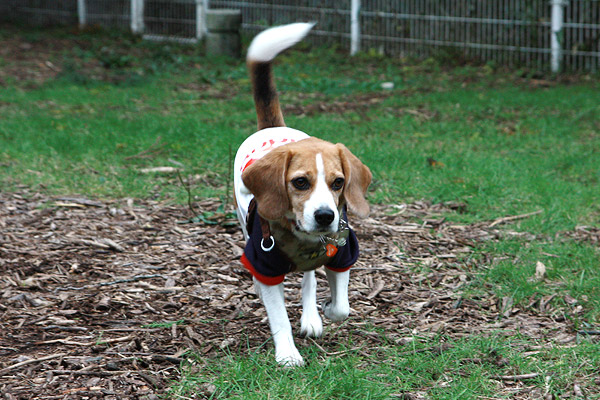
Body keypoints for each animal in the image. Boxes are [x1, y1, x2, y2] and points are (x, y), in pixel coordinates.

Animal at [233, 21, 370, 366]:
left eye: (338, 182)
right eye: (299, 183)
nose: (325, 216)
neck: (303, 238)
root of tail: (272, 127)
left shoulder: (343, 252)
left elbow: (342, 306)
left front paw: (327, 310)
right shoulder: (265, 262)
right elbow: (279, 315)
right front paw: (287, 355)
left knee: (308, 278)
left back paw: (311, 315)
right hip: (243, 225)